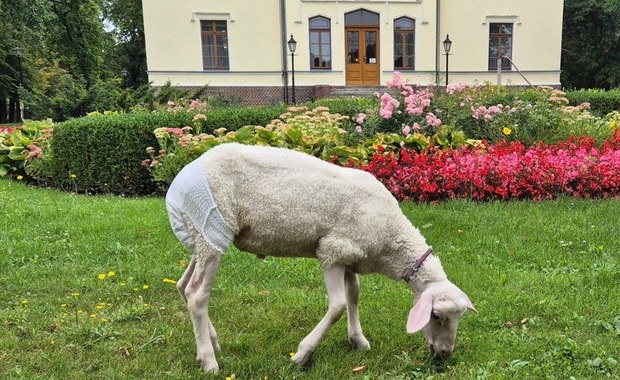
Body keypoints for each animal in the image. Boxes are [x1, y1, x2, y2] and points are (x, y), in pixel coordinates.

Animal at [163, 142, 474, 374]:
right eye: (436, 316)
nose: (445, 354)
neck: (391, 238)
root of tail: (177, 188)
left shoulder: (350, 254)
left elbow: (354, 295)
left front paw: (358, 340)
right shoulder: (332, 251)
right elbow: (337, 306)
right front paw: (302, 355)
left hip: (203, 234)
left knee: (183, 286)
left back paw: (212, 342)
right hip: (213, 228)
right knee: (197, 295)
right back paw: (209, 360)